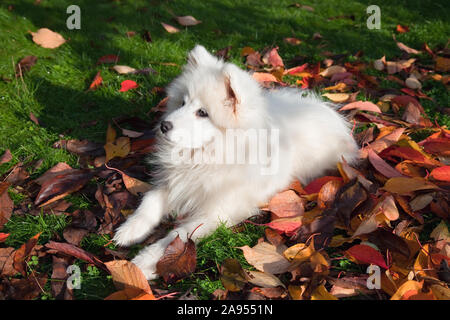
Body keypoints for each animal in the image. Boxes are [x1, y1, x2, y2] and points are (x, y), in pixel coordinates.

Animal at [112, 45, 358, 280]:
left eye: (202, 113)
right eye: (182, 103)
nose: (164, 125)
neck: (207, 155)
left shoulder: (216, 211)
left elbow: (176, 235)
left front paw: (145, 263)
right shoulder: (173, 183)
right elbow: (148, 203)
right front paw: (129, 230)